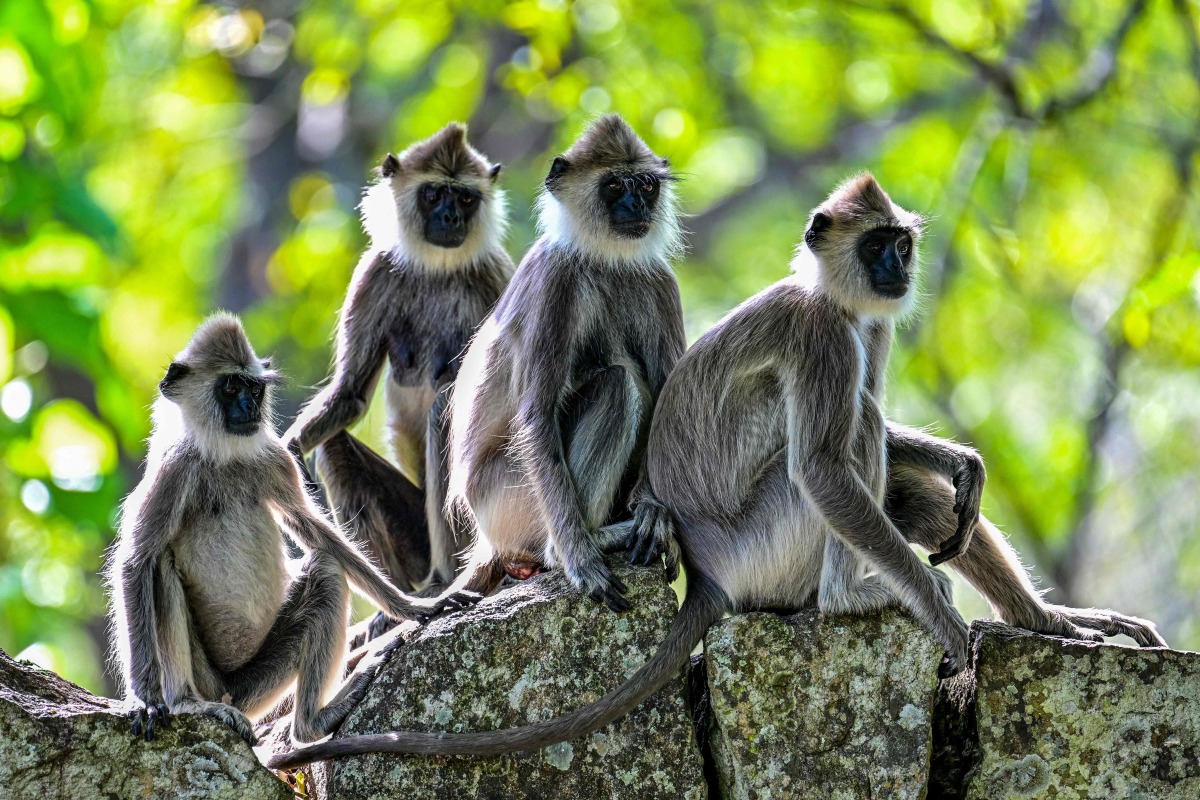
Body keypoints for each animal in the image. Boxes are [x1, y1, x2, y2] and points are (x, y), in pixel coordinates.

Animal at [109, 316, 472, 748]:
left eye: (254, 388)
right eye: (230, 387)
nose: (249, 407)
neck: (223, 458)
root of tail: (230, 691)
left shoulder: (276, 460)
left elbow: (316, 531)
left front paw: (414, 607)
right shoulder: (173, 469)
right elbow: (136, 561)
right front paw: (143, 699)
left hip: (259, 684)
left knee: (327, 570)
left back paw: (312, 721)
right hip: (212, 680)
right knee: (160, 564)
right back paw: (187, 702)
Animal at [270, 176, 1161, 767]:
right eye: (880, 245)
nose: (899, 269)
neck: (826, 296)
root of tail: (706, 578)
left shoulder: (865, 330)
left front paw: (962, 468)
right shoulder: (825, 335)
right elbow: (825, 469)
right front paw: (946, 625)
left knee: (905, 487)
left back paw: (1049, 622)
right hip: (762, 545)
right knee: (834, 455)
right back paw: (852, 597)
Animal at [289, 123, 516, 599]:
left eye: (464, 198)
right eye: (433, 194)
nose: (450, 218)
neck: (438, 269)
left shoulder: (495, 273)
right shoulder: (375, 272)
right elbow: (351, 393)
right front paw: (291, 449)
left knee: (444, 407)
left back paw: (447, 579)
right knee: (334, 447)